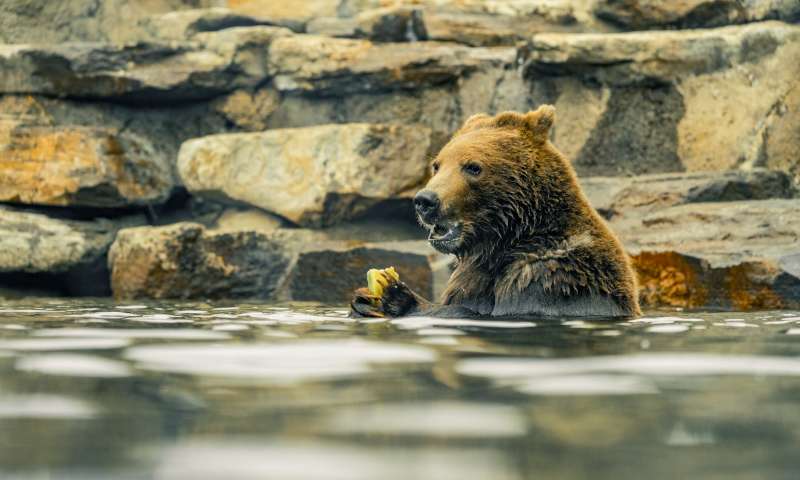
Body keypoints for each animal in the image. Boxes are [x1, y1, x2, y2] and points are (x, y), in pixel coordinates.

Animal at [354, 105, 640, 318]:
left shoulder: (548, 278)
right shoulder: (472, 279)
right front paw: (364, 298)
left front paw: (398, 297)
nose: (425, 200)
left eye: (472, 167)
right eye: (437, 164)